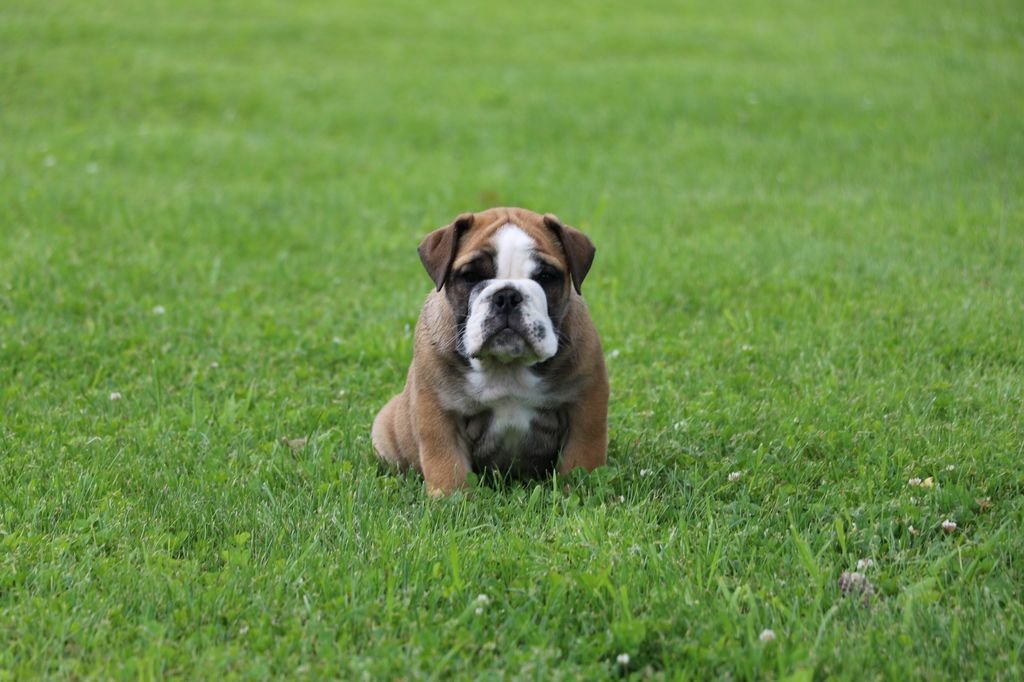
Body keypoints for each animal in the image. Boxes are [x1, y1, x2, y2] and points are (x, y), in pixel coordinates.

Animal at [371, 207, 609, 496]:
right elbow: (445, 461)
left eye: (545, 277)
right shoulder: (439, 412)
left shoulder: (585, 403)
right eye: (470, 277)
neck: (506, 366)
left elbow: (583, 453)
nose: (507, 296)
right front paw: (451, 498)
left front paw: (578, 490)